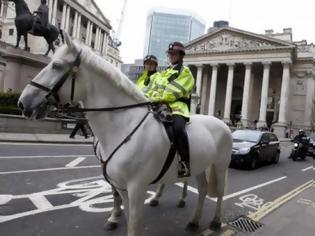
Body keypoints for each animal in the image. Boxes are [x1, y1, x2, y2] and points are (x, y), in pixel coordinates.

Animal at [18, 33, 233, 236]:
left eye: (56, 65)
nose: (23, 103)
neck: (122, 127)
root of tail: (222, 123)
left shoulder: (137, 188)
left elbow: (135, 223)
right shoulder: (121, 186)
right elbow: (126, 213)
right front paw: (115, 217)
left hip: (220, 165)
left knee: (220, 191)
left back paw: (215, 221)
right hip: (200, 166)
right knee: (203, 189)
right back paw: (194, 221)